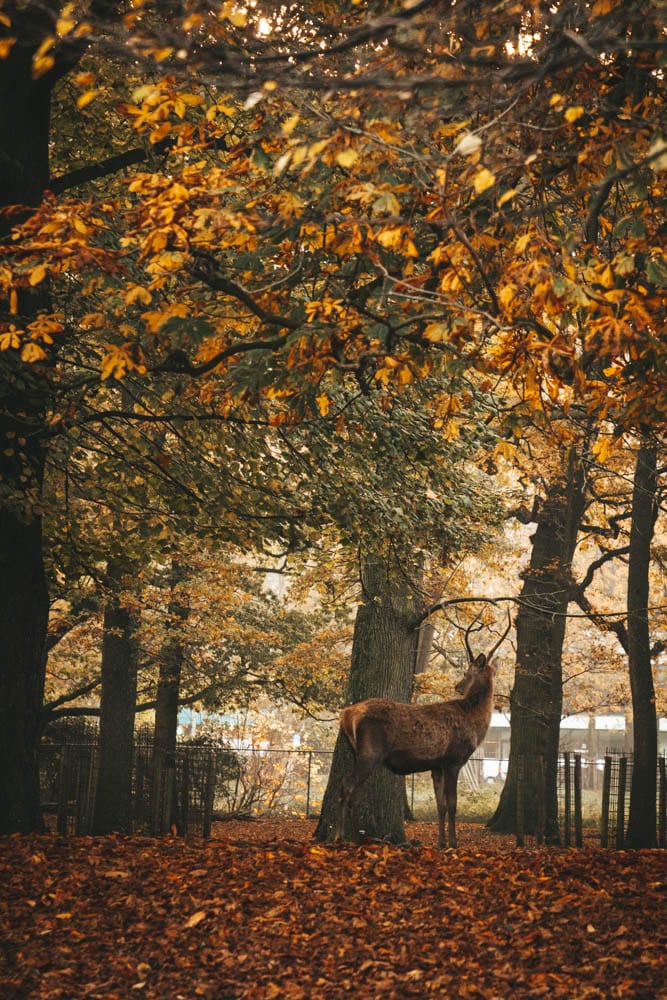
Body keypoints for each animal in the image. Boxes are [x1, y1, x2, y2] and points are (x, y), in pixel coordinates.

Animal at [336, 612, 516, 848]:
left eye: (467, 673)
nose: (458, 687)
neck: (474, 722)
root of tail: (347, 713)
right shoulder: (452, 759)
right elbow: (453, 805)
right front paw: (453, 843)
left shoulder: (436, 765)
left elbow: (441, 806)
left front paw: (440, 842)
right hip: (370, 751)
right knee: (348, 787)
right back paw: (347, 837)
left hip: (356, 750)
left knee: (346, 785)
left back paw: (350, 836)